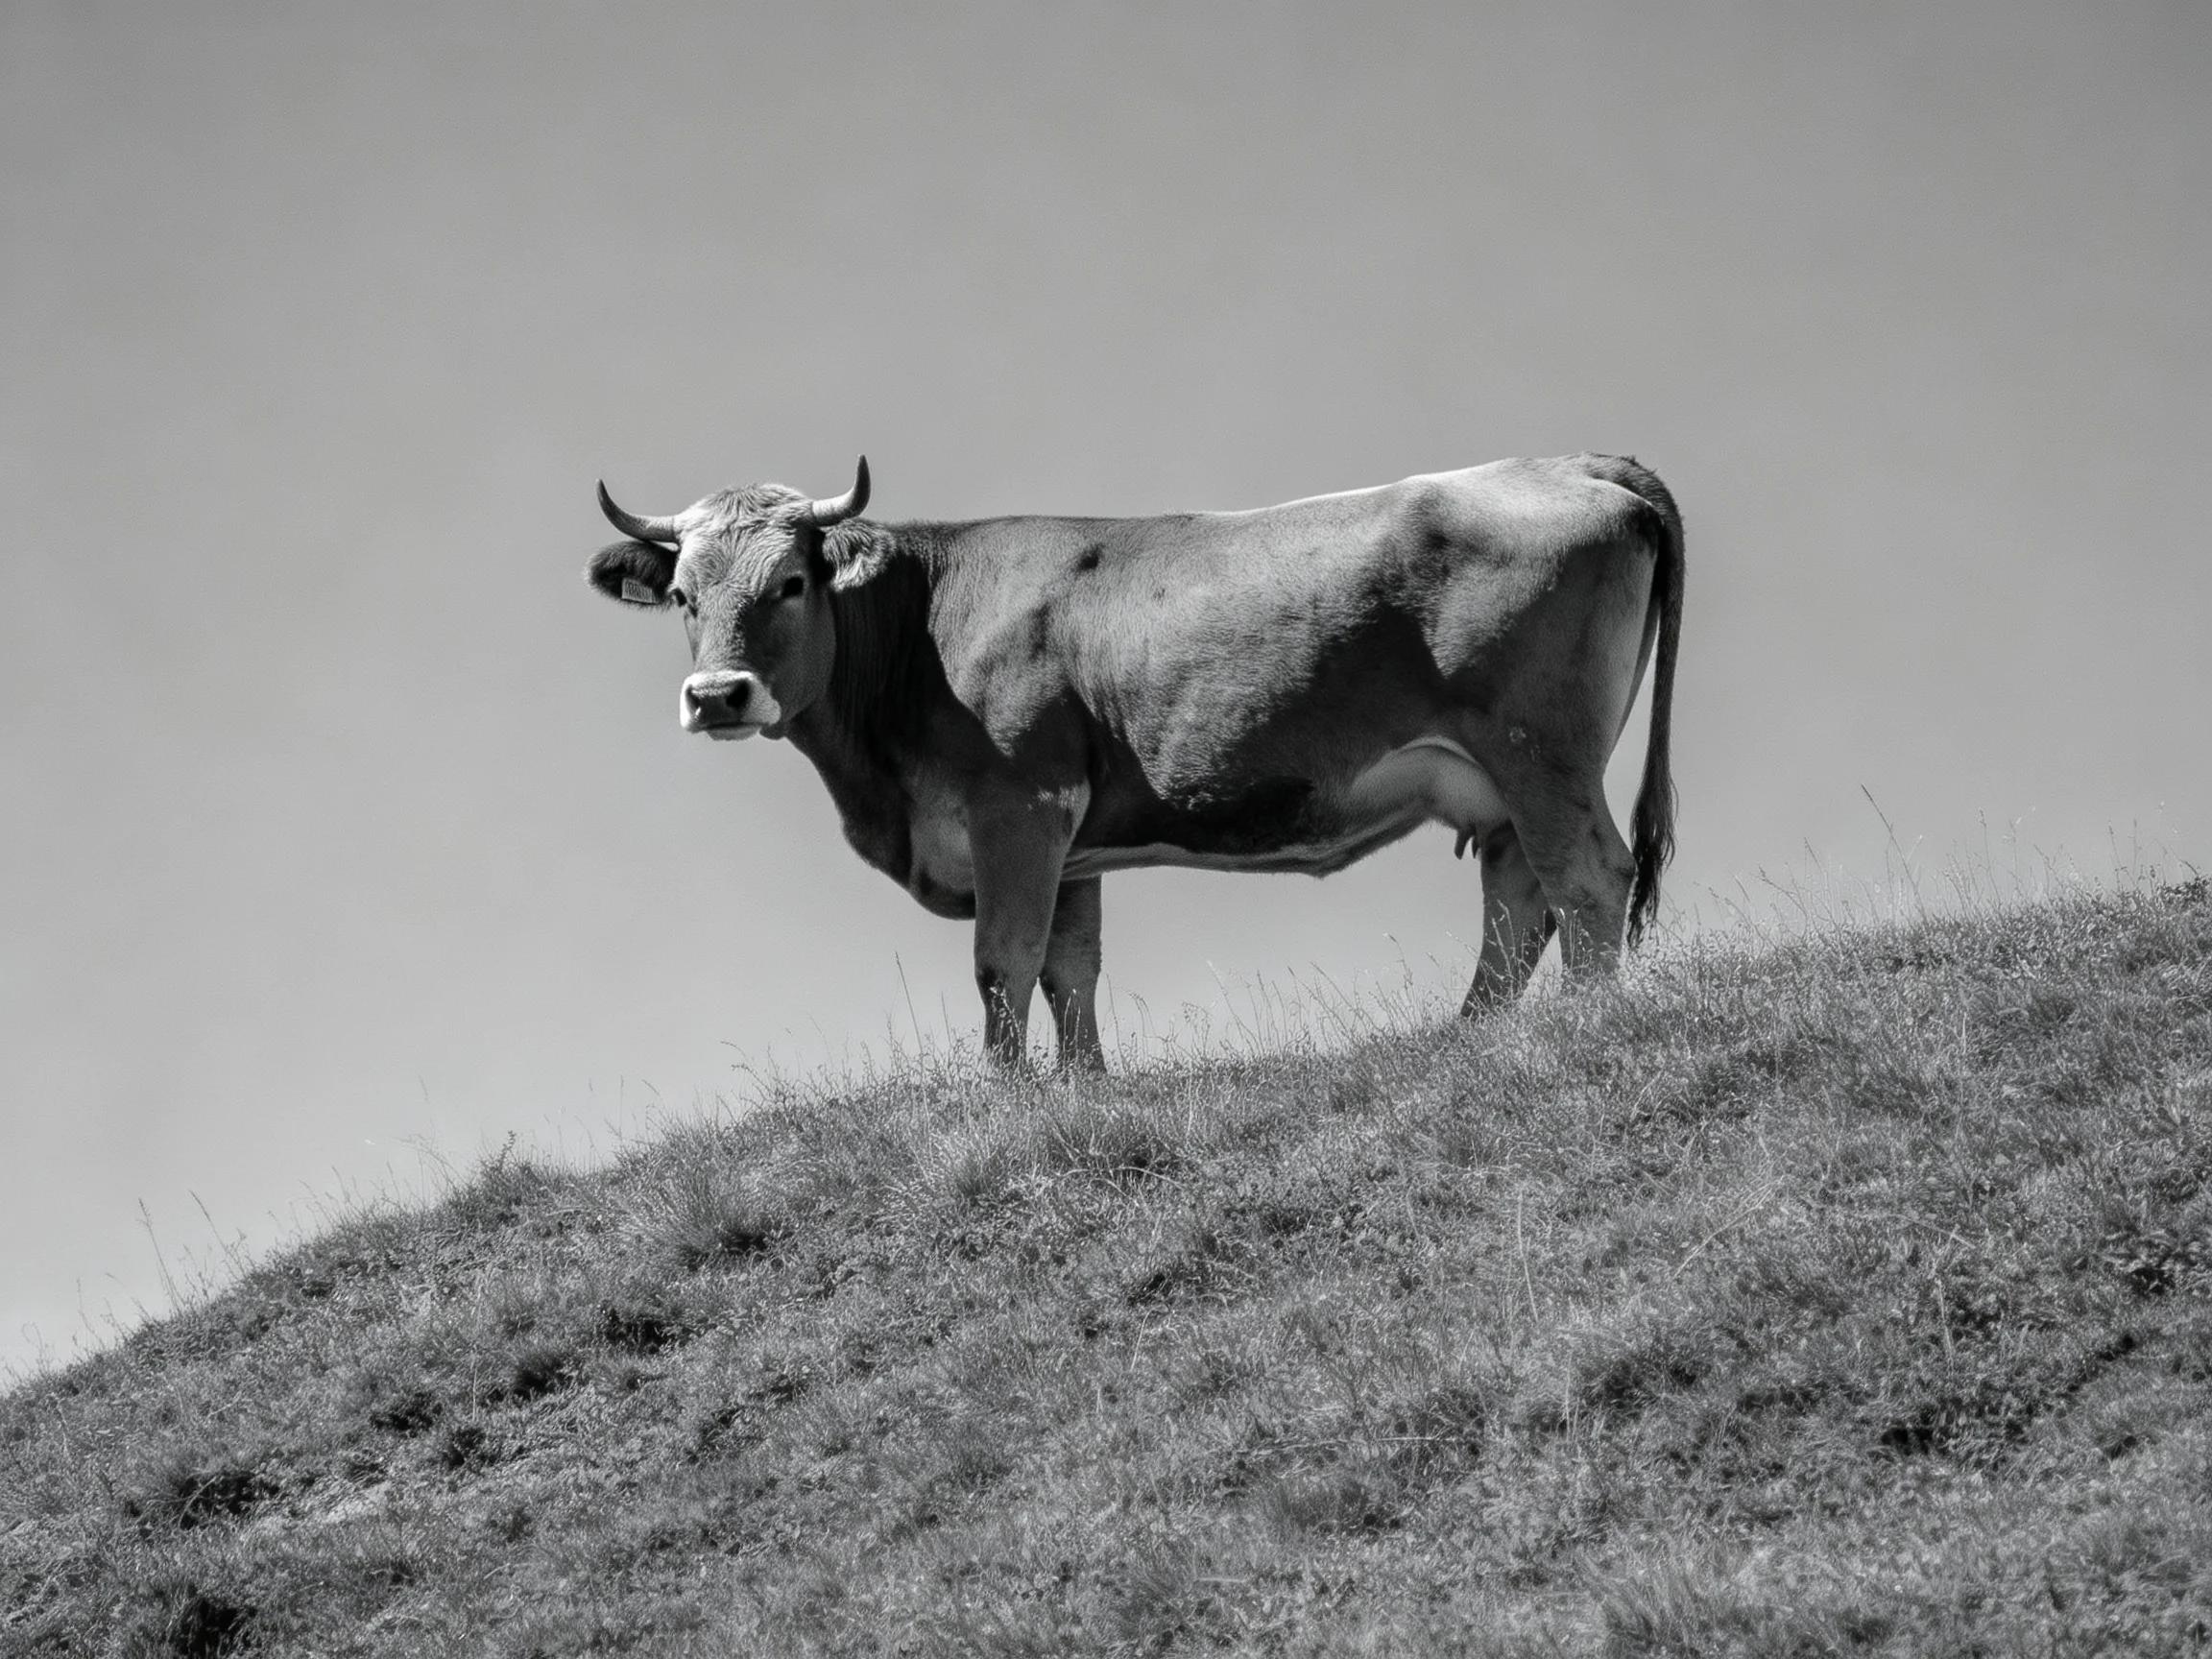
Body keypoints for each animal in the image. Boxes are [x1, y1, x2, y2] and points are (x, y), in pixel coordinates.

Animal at [585, 454, 1682, 1071]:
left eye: (793, 581)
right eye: (682, 595)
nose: (717, 696)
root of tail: (1573, 461)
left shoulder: (1019, 805)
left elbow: (1003, 963)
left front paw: (1003, 1104)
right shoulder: (1068, 841)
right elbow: (1069, 972)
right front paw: (1083, 1095)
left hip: (1539, 754)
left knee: (1587, 881)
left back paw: (1582, 1026)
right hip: (1499, 784)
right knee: (1521, 901)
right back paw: (1473, 1037)